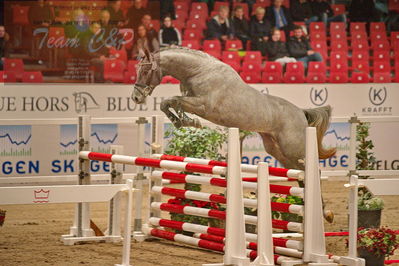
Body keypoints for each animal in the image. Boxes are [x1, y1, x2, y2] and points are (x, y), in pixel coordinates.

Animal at [133, 46, 336, 221]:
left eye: (146, 71)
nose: (136, 97)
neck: (199, 71)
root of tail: (300, 112)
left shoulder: (203, 105)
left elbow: (173, 100)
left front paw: (189, 121)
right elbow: (167, 103)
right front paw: (180, 121)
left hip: (292, 147)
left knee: (312, 169)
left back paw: (324, 212)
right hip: (275, 148)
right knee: (299, 173)